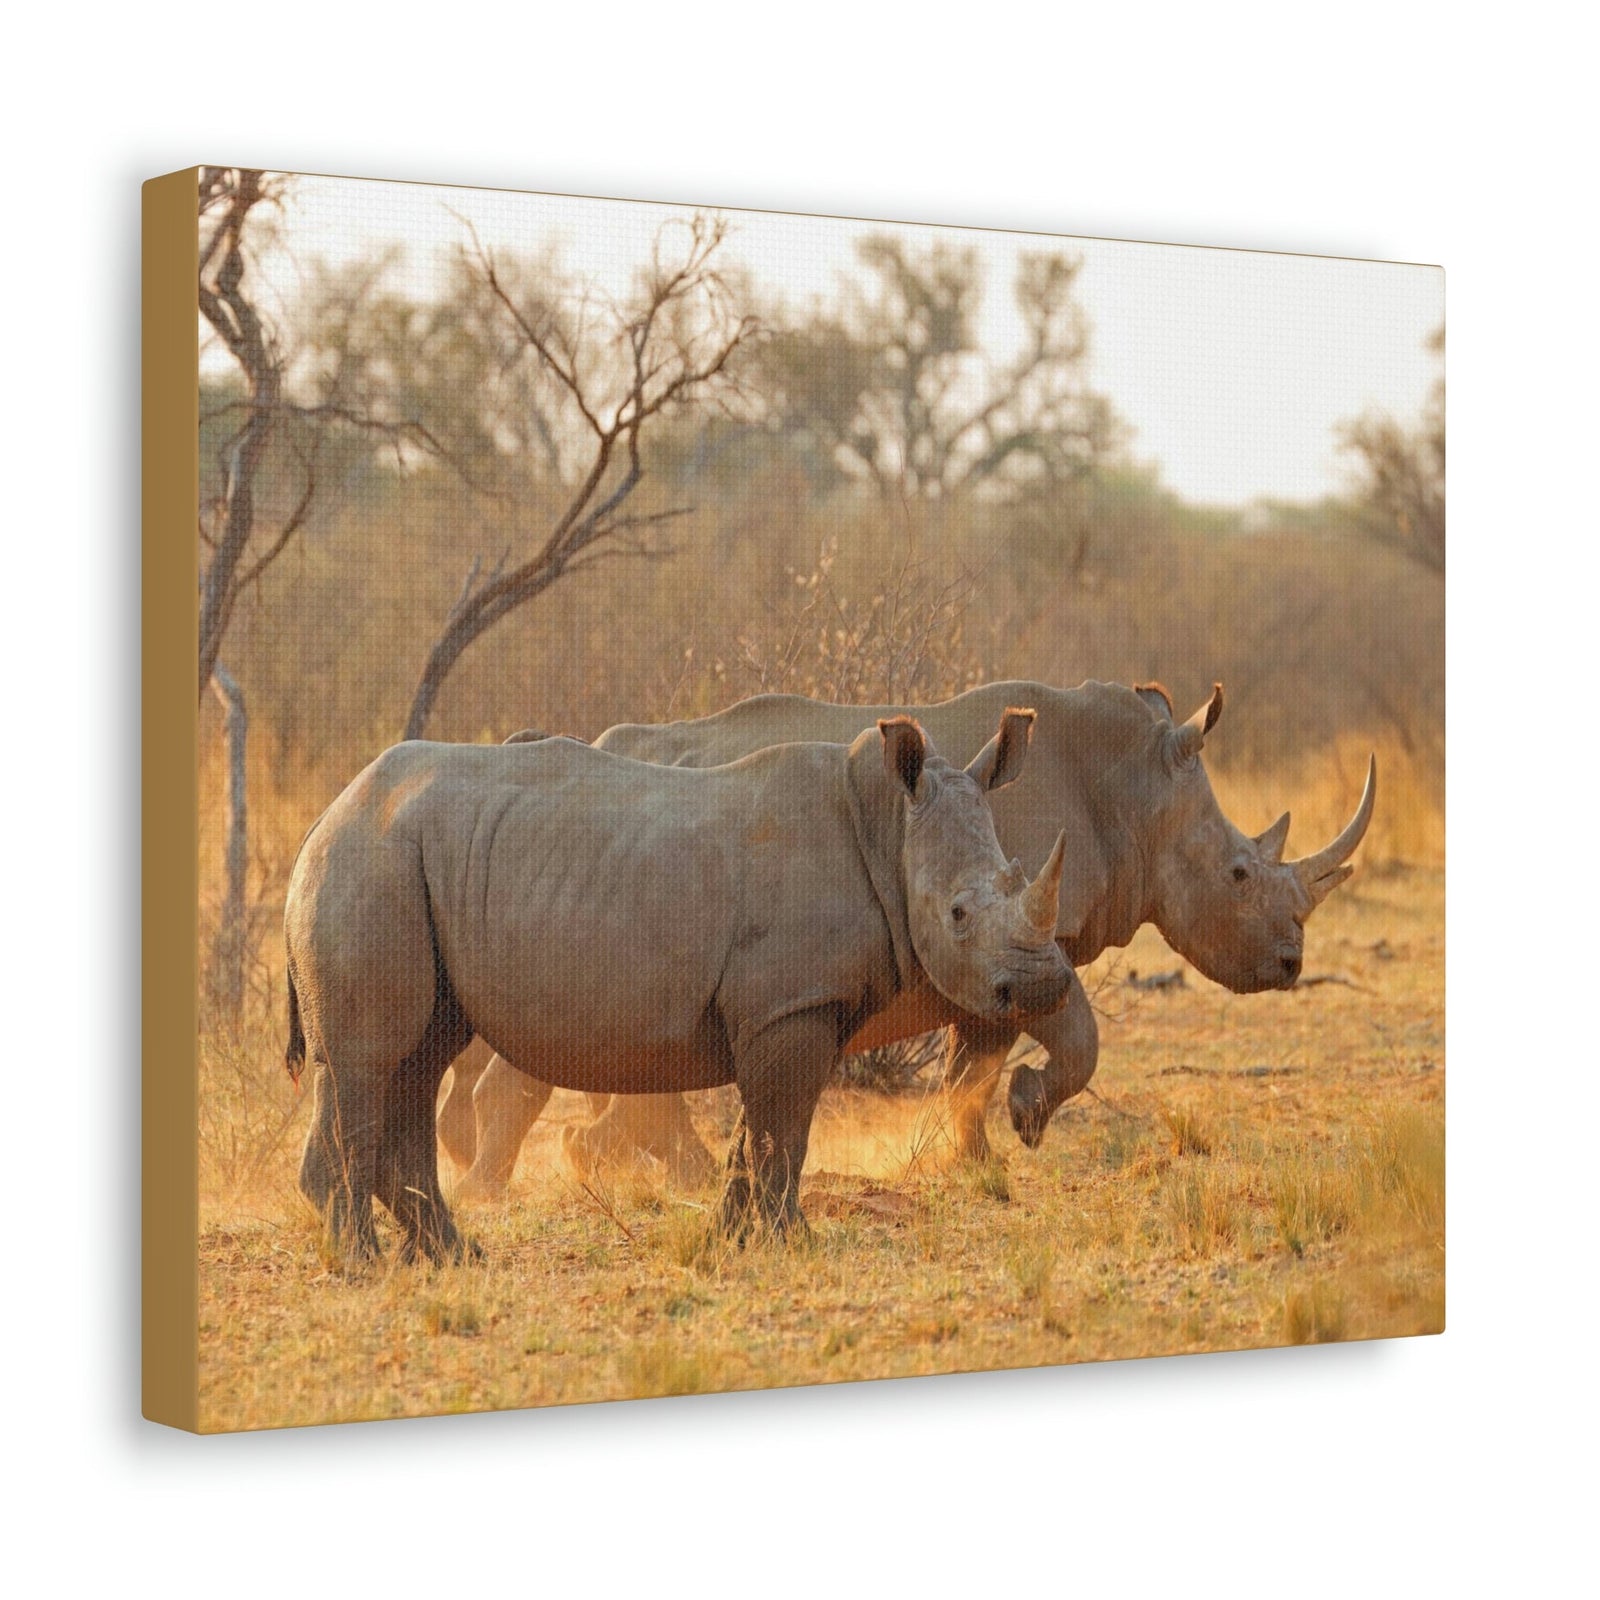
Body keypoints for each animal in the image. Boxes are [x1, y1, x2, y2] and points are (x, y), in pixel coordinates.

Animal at [285, 710, 1071, 1260]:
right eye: (958, 915)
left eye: (1018, 877)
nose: (1041, 989)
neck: (887, 828)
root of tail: (326, 814)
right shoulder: (791, 1005)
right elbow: (783, 1132)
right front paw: (794, 1246)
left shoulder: (789, 1009)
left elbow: (761, 1134)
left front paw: (732, 1243)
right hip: (370, 862)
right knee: (367, 1062)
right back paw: (364, 1265)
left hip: (404, 863)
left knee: (417, 1058)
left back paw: (453, 1259)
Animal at [441, 679, 1374, 1196]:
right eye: (1240, 874)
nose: (1290, 964)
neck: (1134, 789)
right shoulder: (1024, 940)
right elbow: (1059, 1042)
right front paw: (1012, 1130)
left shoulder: (1000, 949)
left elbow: (974, 1062)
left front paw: (968, 1155)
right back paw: (504, 1185)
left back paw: (598, 1164)